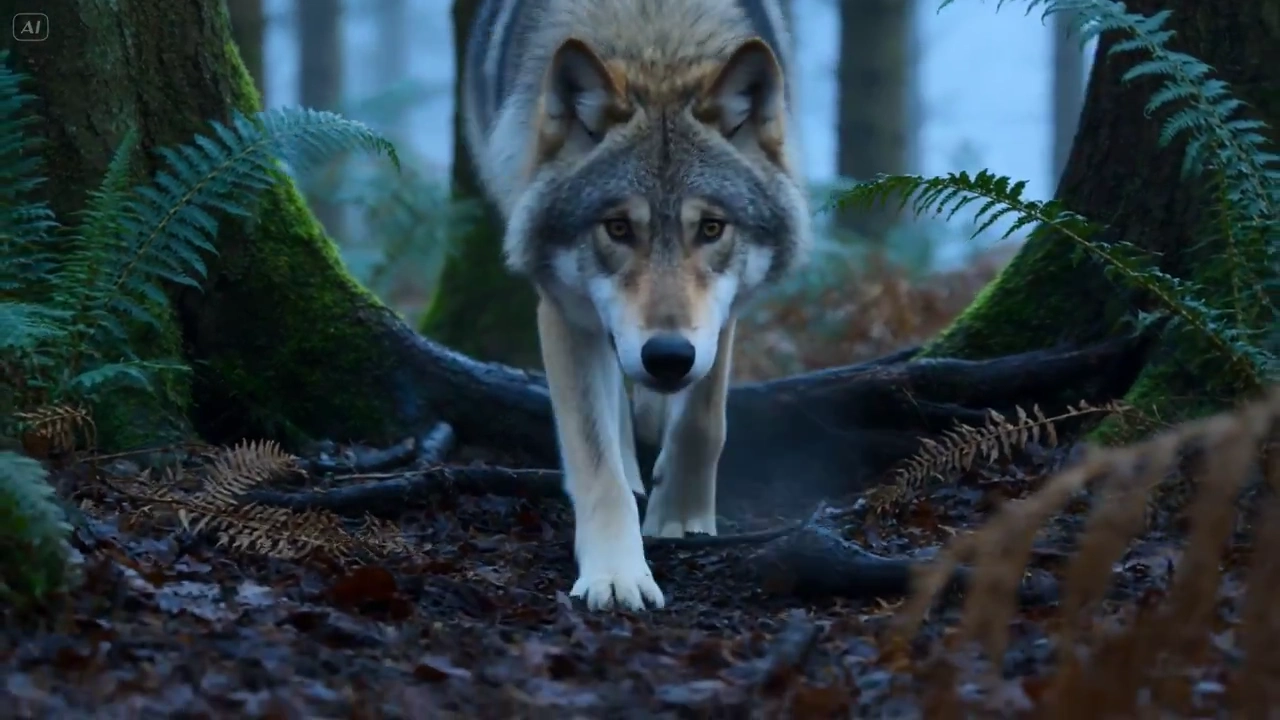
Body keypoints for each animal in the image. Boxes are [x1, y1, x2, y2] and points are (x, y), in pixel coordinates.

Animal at [461, 0, 811, 611]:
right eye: (619, 228)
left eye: (711, 228)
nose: (667, 356)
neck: (654, 41)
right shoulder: (563, 309)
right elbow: (595, 458)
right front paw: (615, 572)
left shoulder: (719, 317)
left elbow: (704, 419)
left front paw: (682, 518)